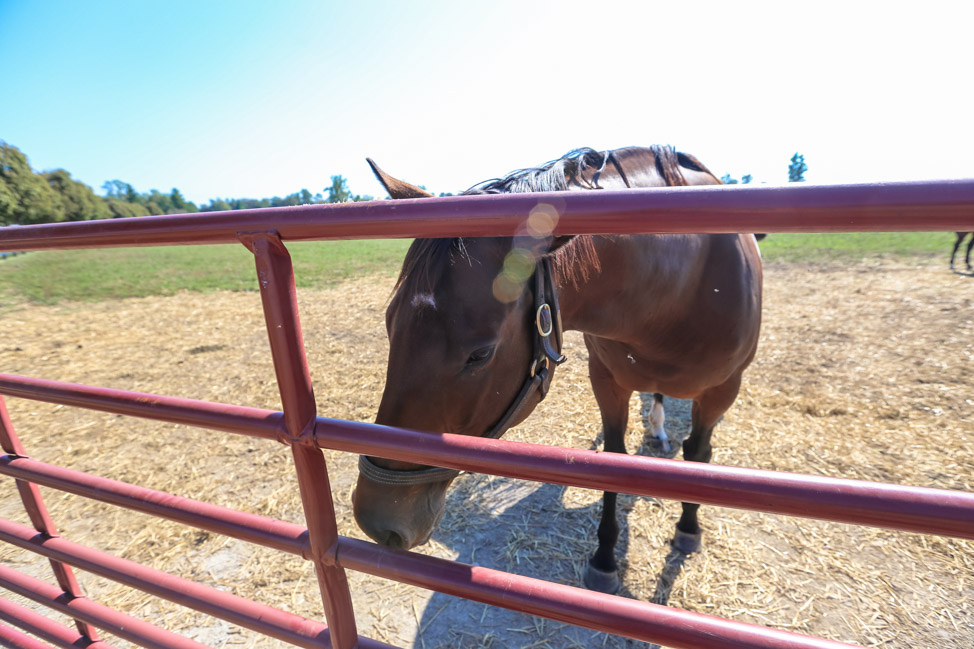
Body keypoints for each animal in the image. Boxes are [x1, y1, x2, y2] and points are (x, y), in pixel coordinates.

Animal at [354, 146, 768, 592]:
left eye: (480, 354)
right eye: (389, 324)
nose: (376, 519)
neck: (679, 289)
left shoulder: (722, 392)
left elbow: (698, 455)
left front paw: (688, 529)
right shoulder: (606, 381)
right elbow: (615, 463)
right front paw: (605, 560)